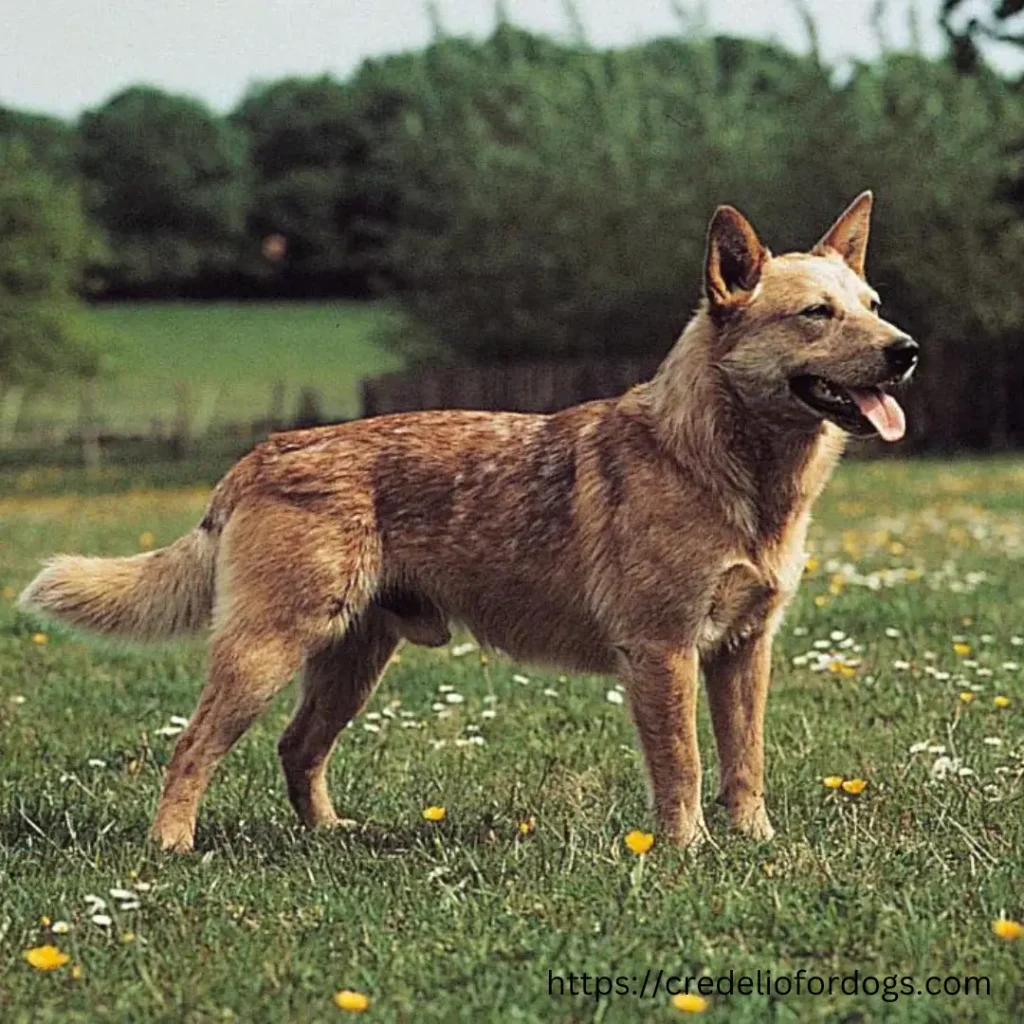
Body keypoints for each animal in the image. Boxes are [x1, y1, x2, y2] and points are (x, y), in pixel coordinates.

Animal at [19, 192, 917, 847]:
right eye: (816, 314)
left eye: (872, 303)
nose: (906, 350)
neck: (732, 472)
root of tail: (256, 457)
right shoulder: (661, 651)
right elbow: (684, 764)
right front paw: (687, 852)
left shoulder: (743, 649)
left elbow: (745, 760)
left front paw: (756, 844)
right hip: (265, 652)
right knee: (191, 746)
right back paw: (171, 847)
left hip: (352, 661)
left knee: (297, 747)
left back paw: (332, 836)